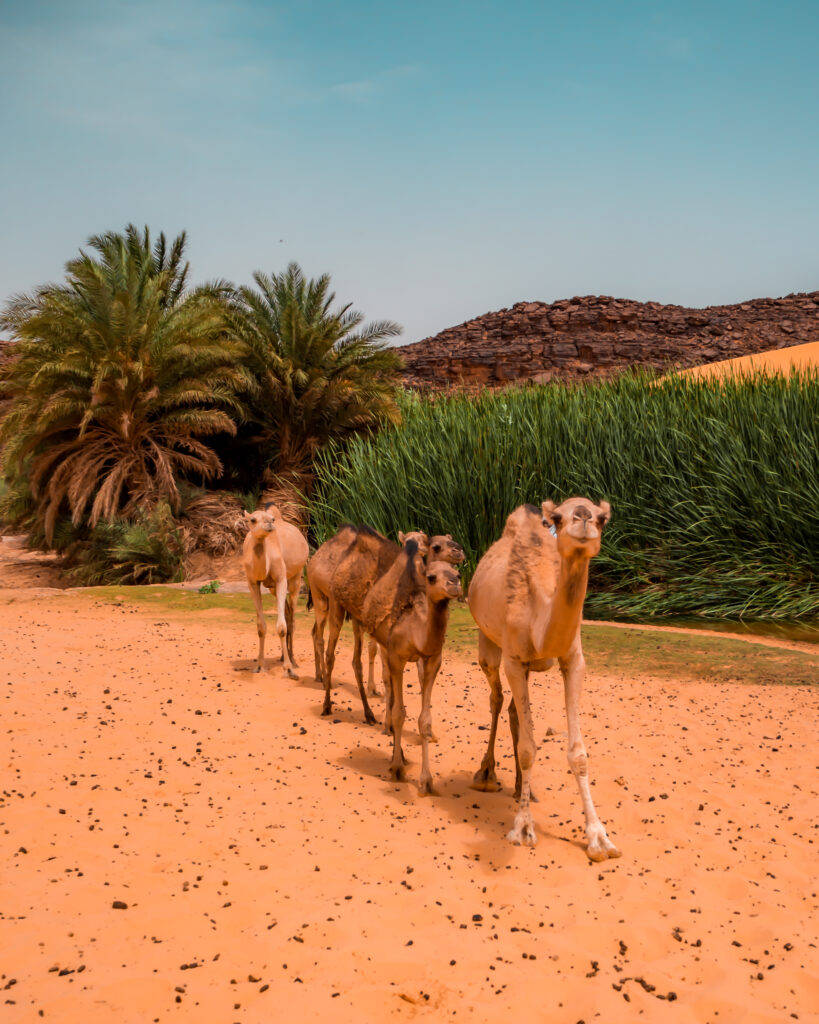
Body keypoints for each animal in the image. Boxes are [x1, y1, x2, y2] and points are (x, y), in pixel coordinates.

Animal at [242, 506, 309, 678]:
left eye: (271, 519)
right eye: (252, 519)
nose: (269, 524)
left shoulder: (281, 579)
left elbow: (282, 627)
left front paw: (289, 669)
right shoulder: (252, 582)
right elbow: (261, 627)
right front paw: (259, 666)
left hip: (296, 577)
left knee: (292, 618)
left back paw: (293, 659)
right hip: (272, 588)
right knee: (287, 612)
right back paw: (282, 656)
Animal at [362, 550, 462, 794]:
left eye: (457, 573)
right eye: (432, 577)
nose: (455, 585)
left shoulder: (432, 660)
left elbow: (424, 719)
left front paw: (426, 780)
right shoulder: (397, 656)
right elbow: (400, 713)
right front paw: (397, 769)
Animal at [467, 498, 620, 862]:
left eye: (602, 518)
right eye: (558, 518)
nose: (583, 518)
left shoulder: (573, 659)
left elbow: (578, 753)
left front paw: (599, 838)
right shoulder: (514, 660)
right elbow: (527, 747)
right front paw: (522, 828)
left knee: (512, 710)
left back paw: (523, 789)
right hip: (488, 643)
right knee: (496, 699)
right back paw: (486, 774)